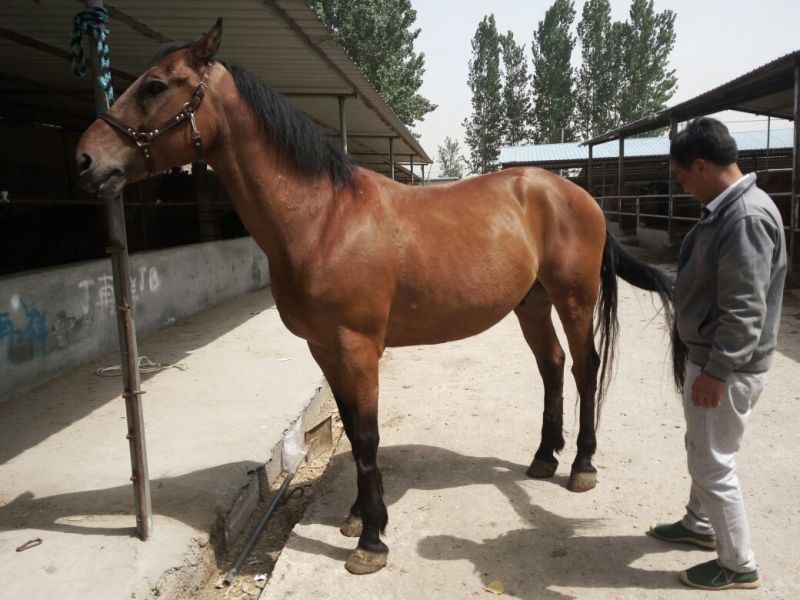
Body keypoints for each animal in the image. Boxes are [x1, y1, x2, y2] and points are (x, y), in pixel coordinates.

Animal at [75, 20, 674, 575]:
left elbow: (365, 435)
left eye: (155, 85)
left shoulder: (358, 347)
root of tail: (574, 191)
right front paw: (359, 516)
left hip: (574, 299)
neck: (323, 219)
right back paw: (544, 458)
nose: (84, 160)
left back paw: (582, 467)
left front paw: (371, 542)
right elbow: (351, 425)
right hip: (532, 303)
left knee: (584, 366)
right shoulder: (324, 348)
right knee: (551, 366)